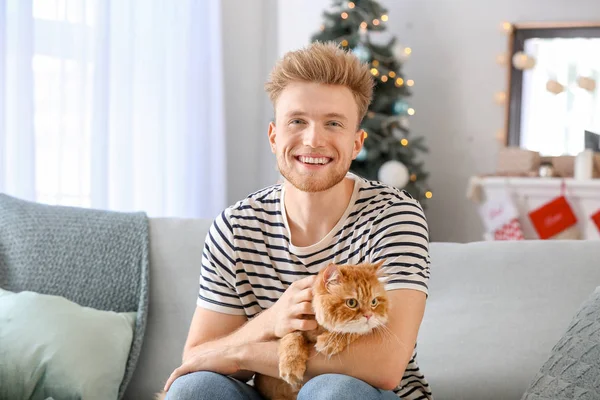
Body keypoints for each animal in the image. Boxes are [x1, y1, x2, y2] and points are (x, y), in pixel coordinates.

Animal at [253, 262, 390, 400]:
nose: (369, 315)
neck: (319, 328)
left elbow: (351, 330)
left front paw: (329, 342)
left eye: (374, 302)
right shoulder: (290, 323)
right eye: (351, 303)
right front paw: (291, 366)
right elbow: (292, 339)